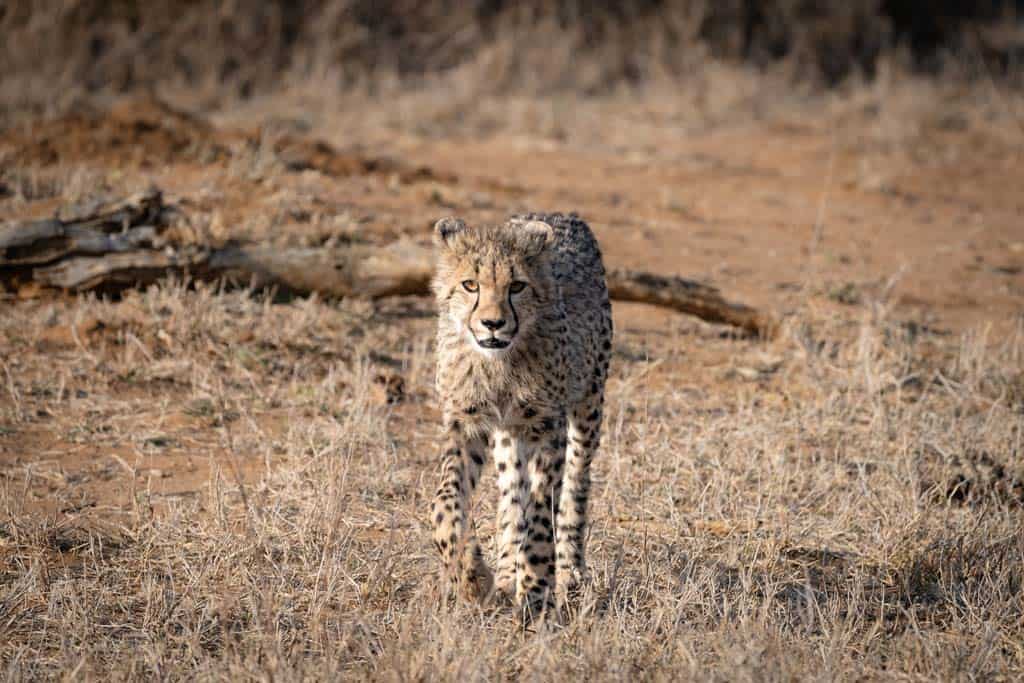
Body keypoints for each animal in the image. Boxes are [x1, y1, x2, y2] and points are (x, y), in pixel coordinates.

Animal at [428, 210, 610, 610]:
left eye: (517, 286)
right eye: (470, 284)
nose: (493, 323)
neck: (499, 364)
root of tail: (561, 214)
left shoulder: (547, 427)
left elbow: (541, 513)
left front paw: (537, 590)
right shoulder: (466, 422)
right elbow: (445, 502)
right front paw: (472, 576)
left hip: (588, 403)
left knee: (576, 484)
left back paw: (570, 571)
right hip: (508, 436)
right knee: (512, 495)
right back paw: (505, 572)